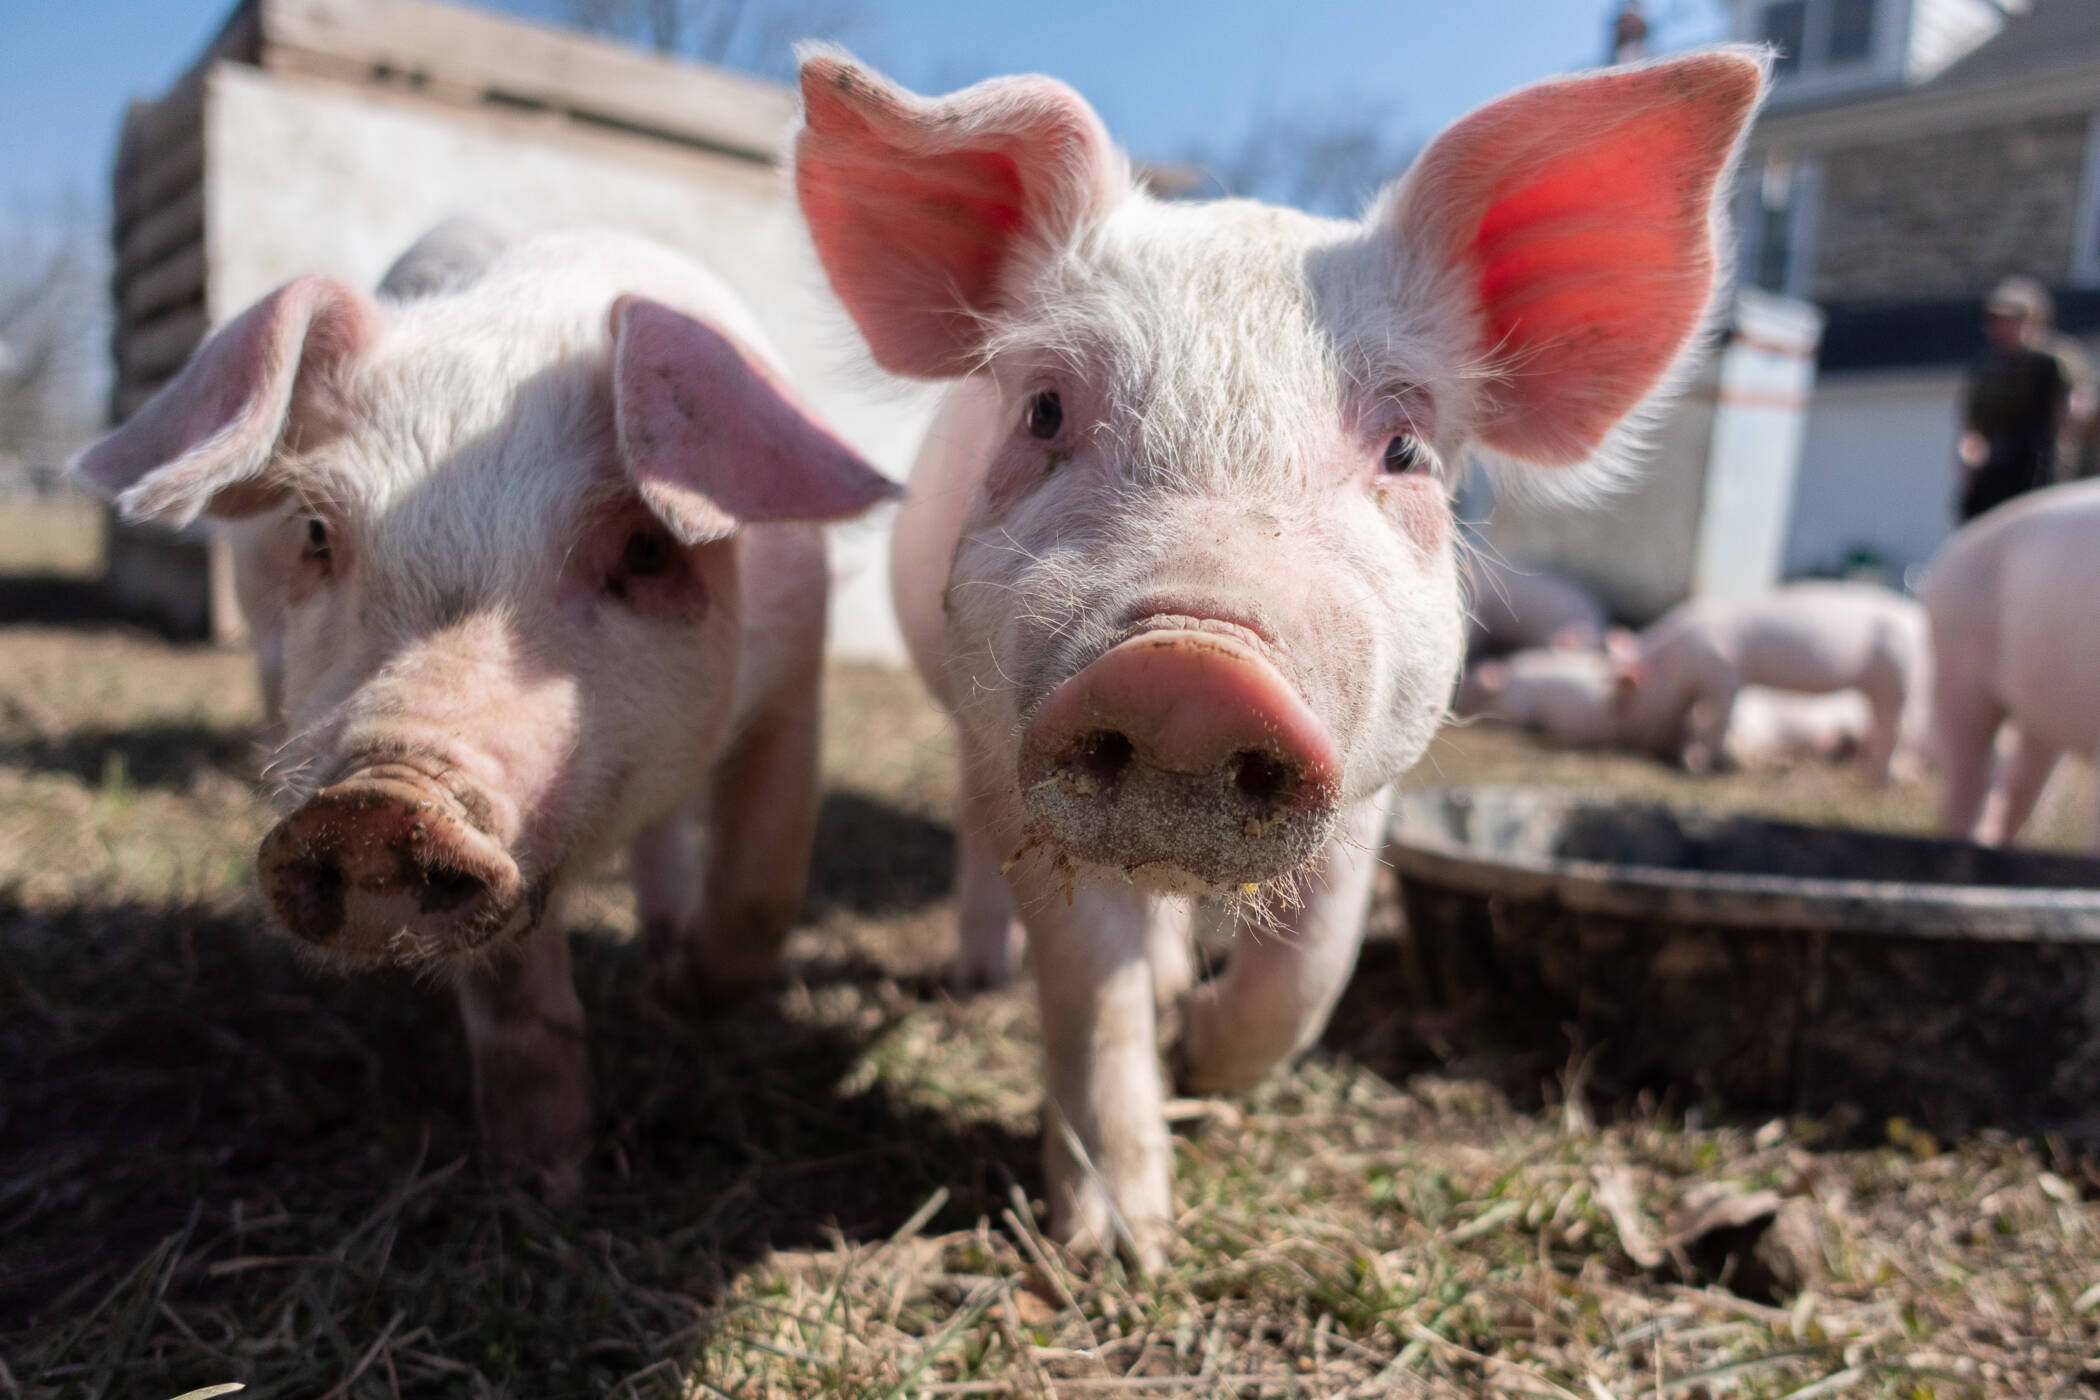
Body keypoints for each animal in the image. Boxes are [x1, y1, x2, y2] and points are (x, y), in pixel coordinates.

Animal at [65, 224, 898, 1200]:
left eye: (646, 548)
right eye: (316, 533)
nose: (376, 801)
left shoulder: (795, 670)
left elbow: (766, 880)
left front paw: (688, 1003)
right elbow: (513, 998)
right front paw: (546, 1181)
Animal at [793, 51, 1763, 1259]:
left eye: (1406, 447)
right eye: (1045, 408)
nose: (1189, 668)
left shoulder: (1375, 771)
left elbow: (1316, 965)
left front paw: (1202, 1054)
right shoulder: (1018, 755)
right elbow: (1086, 979)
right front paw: (1123, 1247)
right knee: (978, 833)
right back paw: (983, 977)